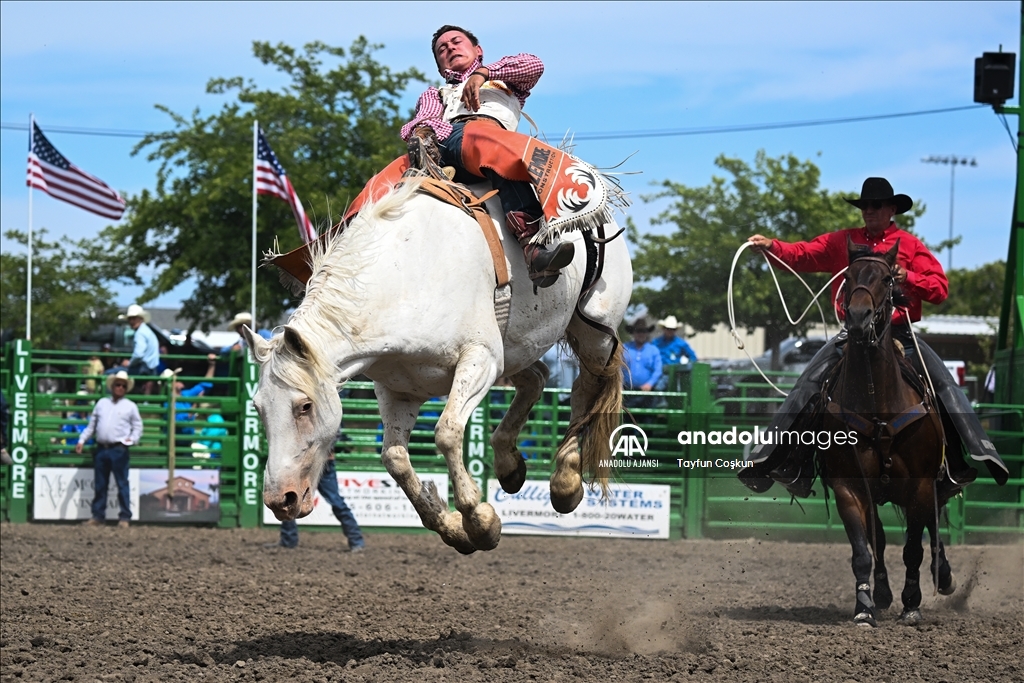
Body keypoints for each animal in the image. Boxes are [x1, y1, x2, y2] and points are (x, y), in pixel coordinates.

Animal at [245, 178, 630, 557]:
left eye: (304, 406)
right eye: (258, 408)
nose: (280, 500)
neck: (404, 277)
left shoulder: (480, 357)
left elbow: (446, 433)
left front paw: (480, 522)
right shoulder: (397, 388)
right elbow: (395, 458)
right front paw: (453, 528)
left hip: (593, 334)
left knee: (584, 389)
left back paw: (566, 481)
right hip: (516, 347)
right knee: (536, 379)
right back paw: (508, 464)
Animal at [819, 239, 954, 626]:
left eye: (886, 279)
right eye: (848, 277)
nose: (859, 318)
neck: (877, 400)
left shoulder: (922, 485)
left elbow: (912, 550)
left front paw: (912, 604)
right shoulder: (848, 486)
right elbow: (864, 549)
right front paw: (865, 605)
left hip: (932, 486)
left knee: (933, 529)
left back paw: (944, 576)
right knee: (878, 537)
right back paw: (880, 592)